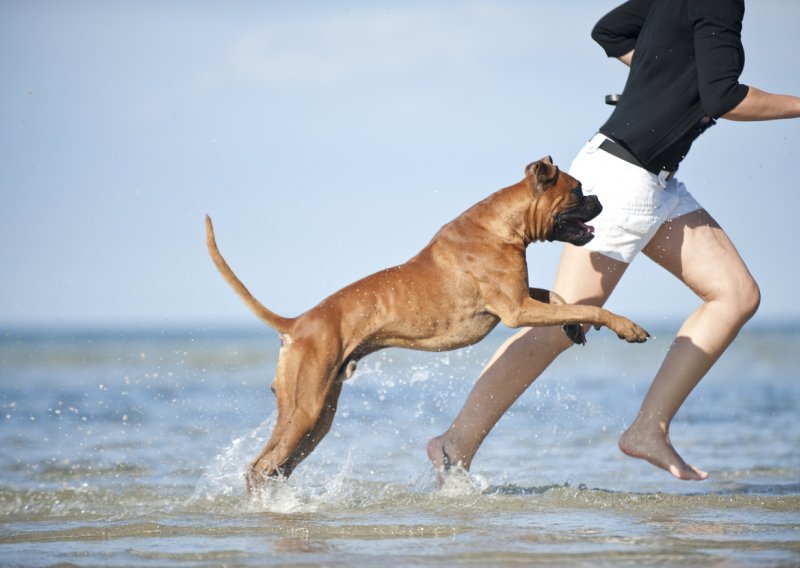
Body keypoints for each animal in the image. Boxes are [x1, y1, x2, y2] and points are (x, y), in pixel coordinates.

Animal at [206, 158, 648, 490]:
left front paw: (571, 328)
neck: (503, 224)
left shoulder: (522, 298)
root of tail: (297, 323)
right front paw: (625, 327)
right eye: (577, 190)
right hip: (306, 410)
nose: (599, 199)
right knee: (260, 467)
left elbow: (560, 298)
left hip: (318, 416)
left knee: (277, 466)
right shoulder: (516, 309)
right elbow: (588, 308)